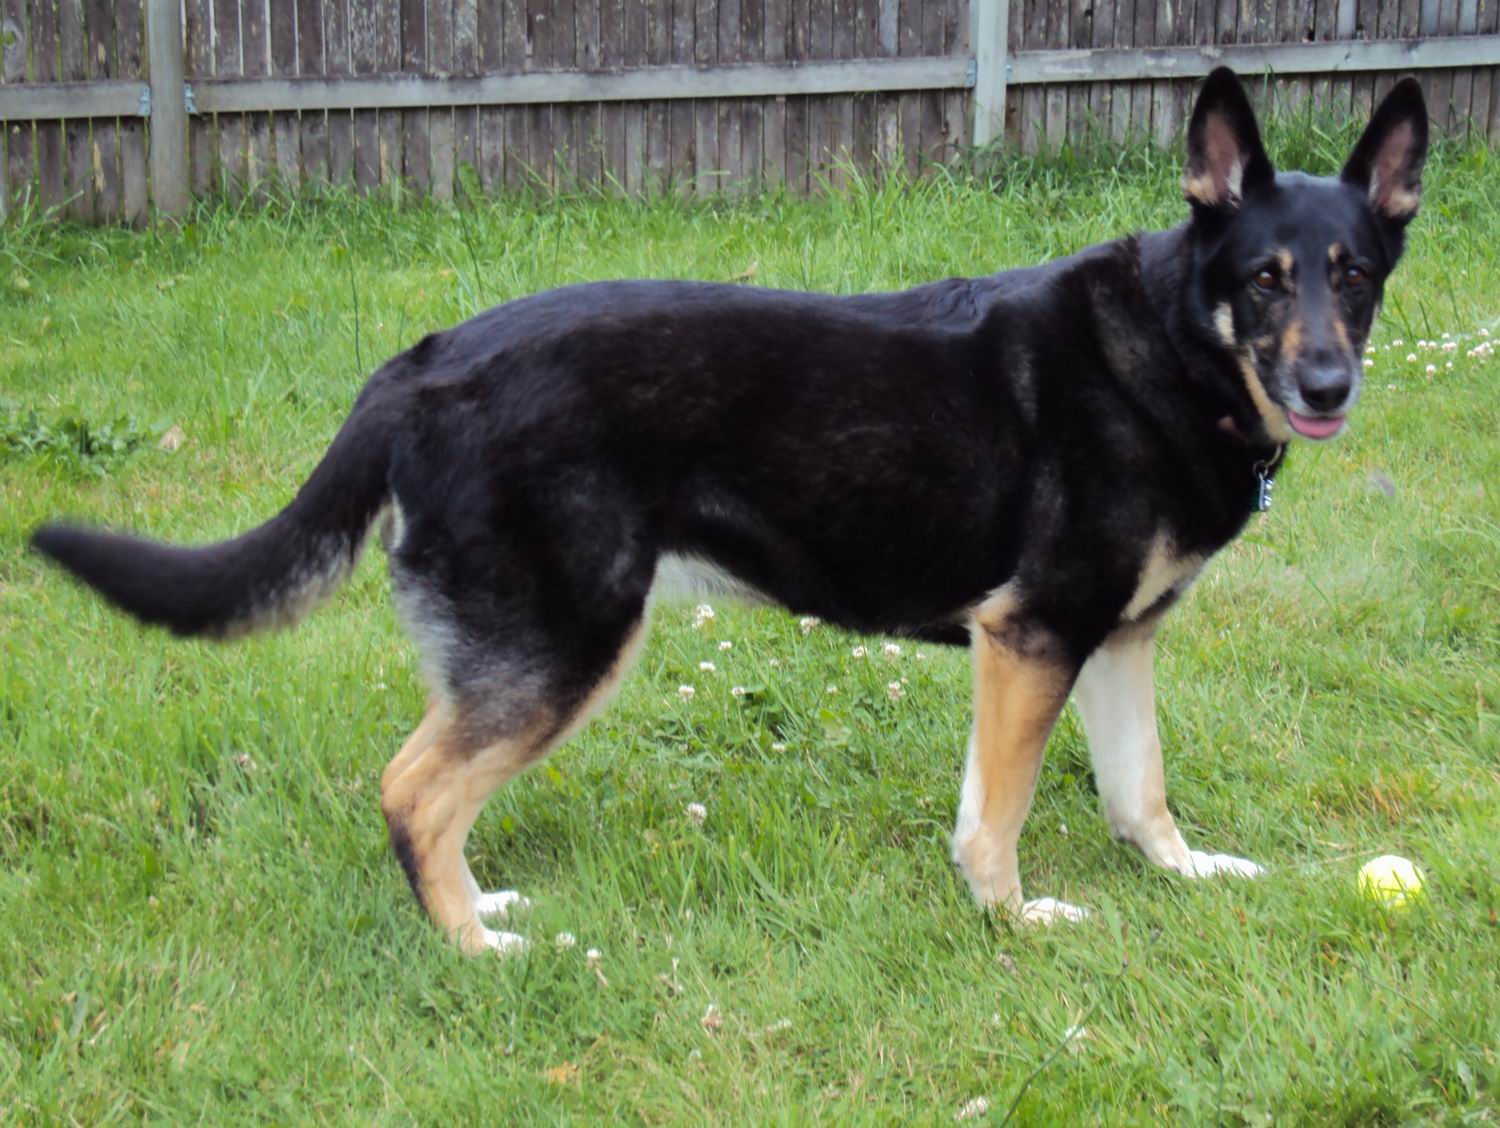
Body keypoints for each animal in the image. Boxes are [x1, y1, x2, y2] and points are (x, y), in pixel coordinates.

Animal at [32, 69, 1427, 954]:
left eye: (1354, 275)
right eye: (1265, 278)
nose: (1328, 386)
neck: (1176, 348)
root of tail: (419, 367)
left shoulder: (1118, 642)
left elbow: (1141, 793)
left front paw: (1186, 881)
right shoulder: (1030, 639)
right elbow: (998, 817)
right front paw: (1011, 922)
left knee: (432, 791)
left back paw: (481, 913)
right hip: (564, 647)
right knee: (412, 792)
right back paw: (475, 952)